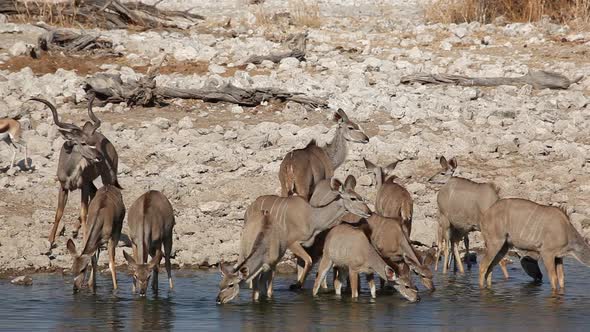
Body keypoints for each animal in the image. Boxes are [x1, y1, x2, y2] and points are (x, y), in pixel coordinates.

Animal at [31, 96, 122, 246]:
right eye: (83, 143)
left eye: (93, 142)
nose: (99, 157)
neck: (70, 173)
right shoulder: (63, 187)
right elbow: (59, 212)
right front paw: (50, 241)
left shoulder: (83, 185)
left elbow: (83, 212)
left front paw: (85, 239)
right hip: (91, 182)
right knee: (94, 192)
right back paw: (74, 230)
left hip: (107, 178)